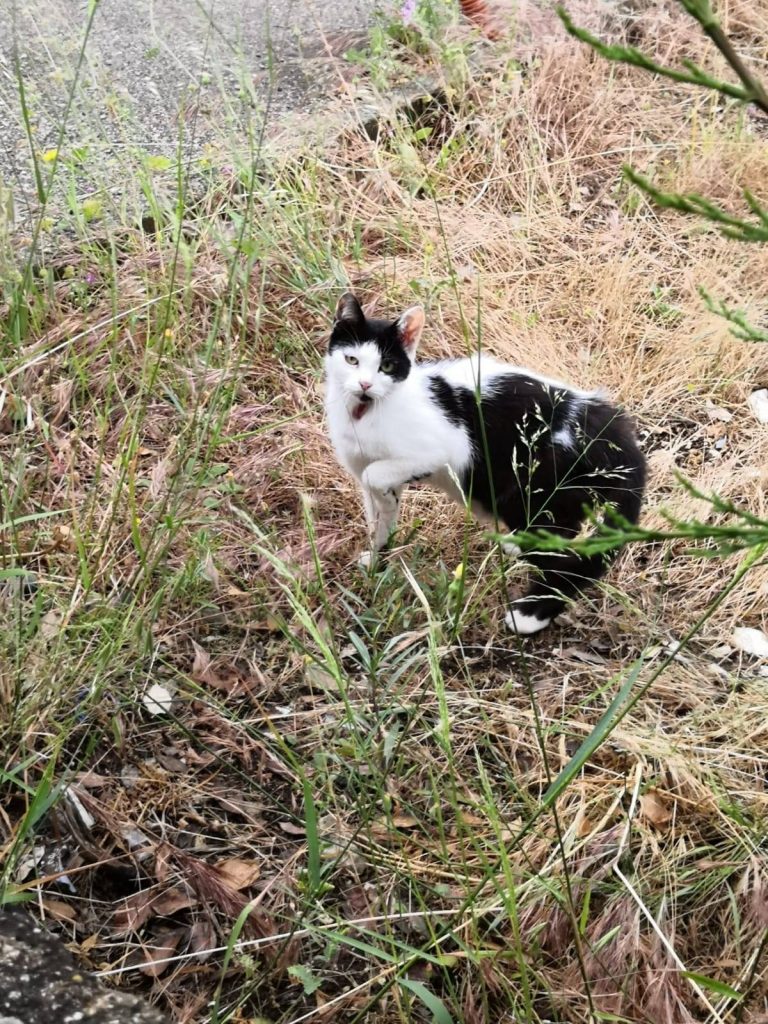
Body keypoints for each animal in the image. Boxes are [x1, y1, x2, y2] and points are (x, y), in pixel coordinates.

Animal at [321, 292, 647, 634]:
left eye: (386, 366)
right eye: (352, 360)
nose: (365, 385)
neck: (364, 414)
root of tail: (609, 426)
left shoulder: (437, 450)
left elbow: (376, 474)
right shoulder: (361, 468)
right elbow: (377, 515)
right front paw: (377, 556)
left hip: (530, 494)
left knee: (562, 555)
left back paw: (531, 614)